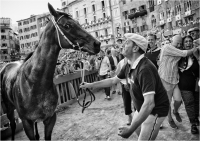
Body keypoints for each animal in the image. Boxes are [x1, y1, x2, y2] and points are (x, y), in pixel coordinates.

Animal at [0, 3, 100, 140]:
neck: (35, 83)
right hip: (9, 109)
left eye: (78, 23)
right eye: (67, 25)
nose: (97, 44)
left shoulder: (50, 118)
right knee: (13, 125)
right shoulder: (26, 122)